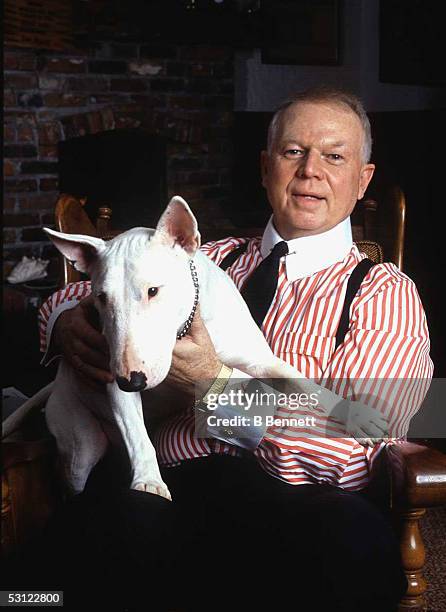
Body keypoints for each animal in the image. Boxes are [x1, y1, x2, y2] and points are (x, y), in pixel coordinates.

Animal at [2, 198, 386, 500]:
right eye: (101, 298)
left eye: (153, 290)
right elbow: (137, 435)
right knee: (75, 470)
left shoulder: (260, 361)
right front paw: (148, 482)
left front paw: (357, 415)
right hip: (80, 441)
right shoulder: (112, 374)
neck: (184, 327)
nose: (132, 381)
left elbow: (305, 383)